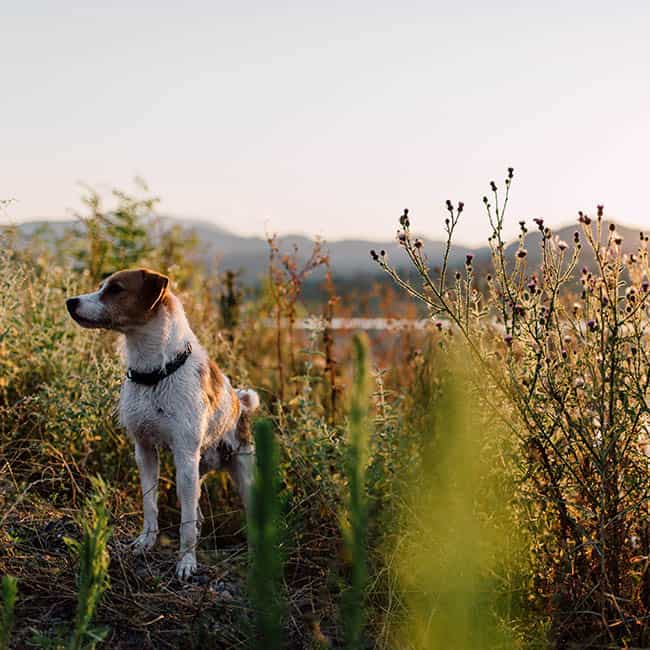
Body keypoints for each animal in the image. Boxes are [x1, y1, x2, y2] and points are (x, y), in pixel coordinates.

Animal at [65, 268, 258, 576]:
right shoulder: (144, 450)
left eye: (116, 289)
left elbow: (186, 523)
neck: (155, 374)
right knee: (197, 512)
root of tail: (240, 402)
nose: (71, 302)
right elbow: (150, 504)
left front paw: (186, 562)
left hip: (240, 474)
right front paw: (146, 541)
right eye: (100, 287)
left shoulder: (185, 456)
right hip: (197, 470)